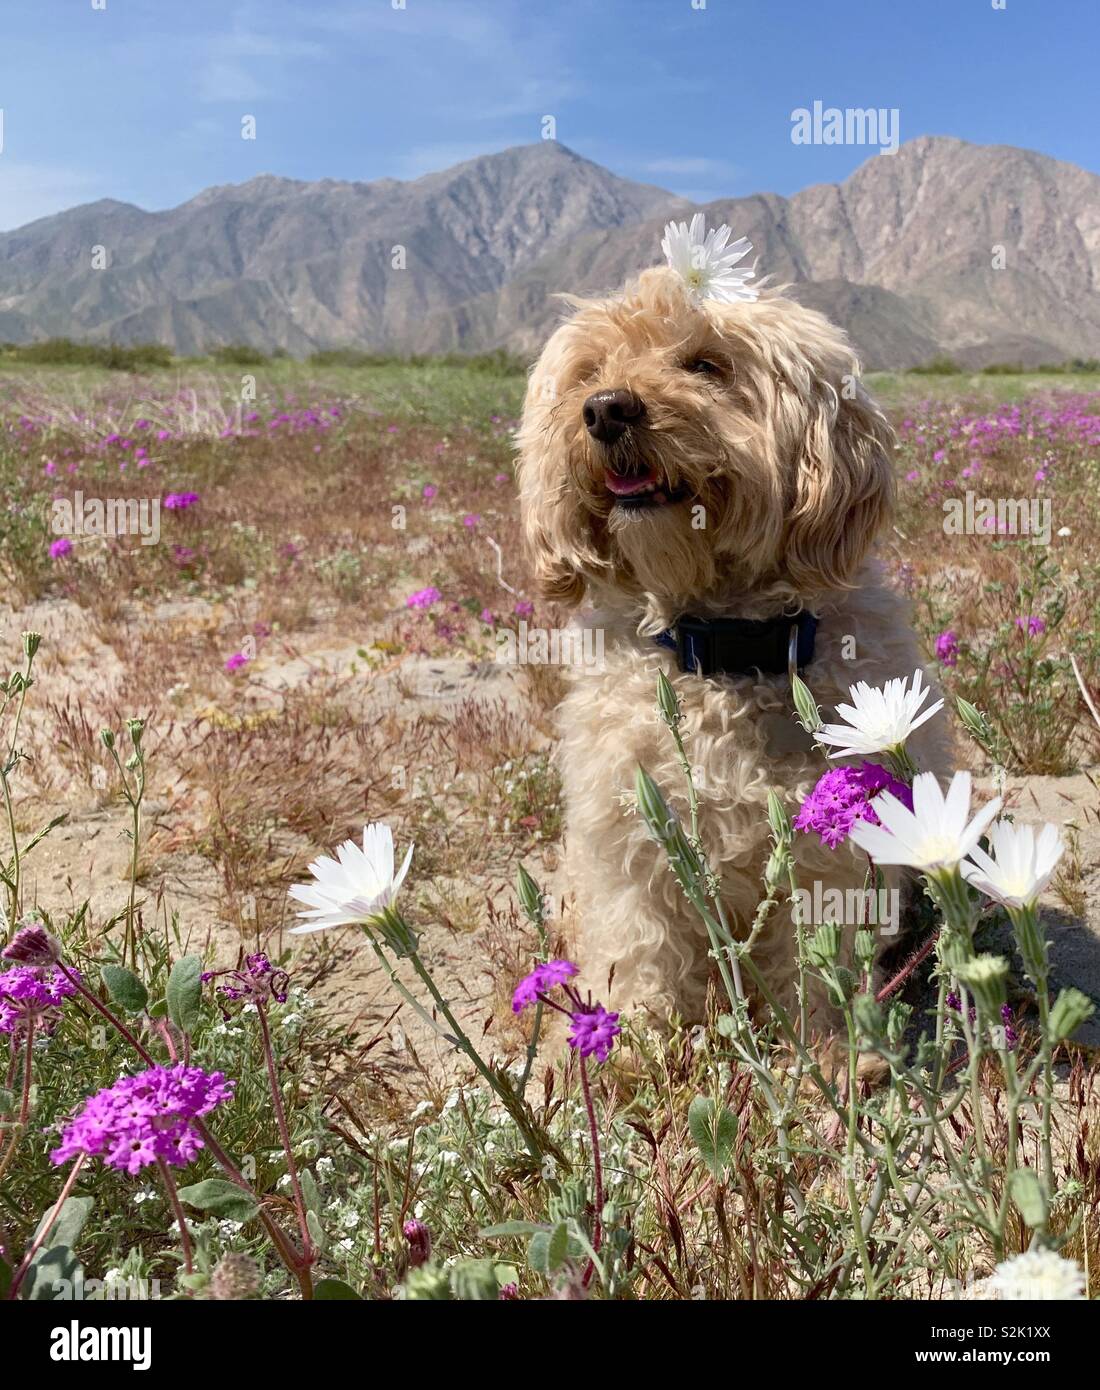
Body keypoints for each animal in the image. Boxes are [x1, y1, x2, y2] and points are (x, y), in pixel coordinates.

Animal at [517, 258, 956, 1034]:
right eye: (590, 370)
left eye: (705, 364)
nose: (604, 409)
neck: (722, 644)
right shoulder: (627, 835)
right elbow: (638, 941)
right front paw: (634, 1037)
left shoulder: (830, 850)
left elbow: (816, 958)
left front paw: (832, 1046)